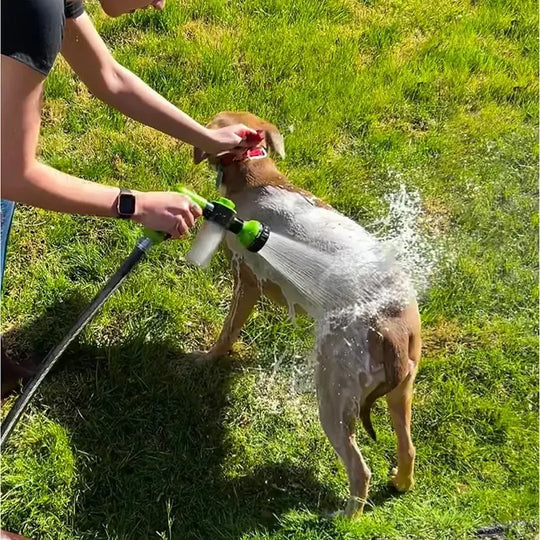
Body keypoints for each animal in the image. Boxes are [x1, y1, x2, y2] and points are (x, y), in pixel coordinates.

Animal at [194, 112, 422, 516]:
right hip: (402, 391)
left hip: (334, 398)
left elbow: (227, 333)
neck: (256, 175)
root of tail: (392, 330)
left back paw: (346, 518)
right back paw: (400, 483)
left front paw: (207, 359)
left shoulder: (246, 282)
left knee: (360, 470)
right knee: (408, 447)